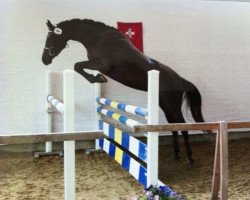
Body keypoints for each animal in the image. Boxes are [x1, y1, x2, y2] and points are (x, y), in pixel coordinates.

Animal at [42, 18, 207, 164]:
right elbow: (78, 66)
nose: (44, 60)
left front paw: (97, 78)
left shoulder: (101, 64)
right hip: (165, 105)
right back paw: (177, 154)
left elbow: (77, 65)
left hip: (173, 105)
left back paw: (190, 158)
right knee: (173, 127)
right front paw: (97, 78)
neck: (98, 38)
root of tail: (180, 80)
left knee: (183, 127)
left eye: (50, 37)